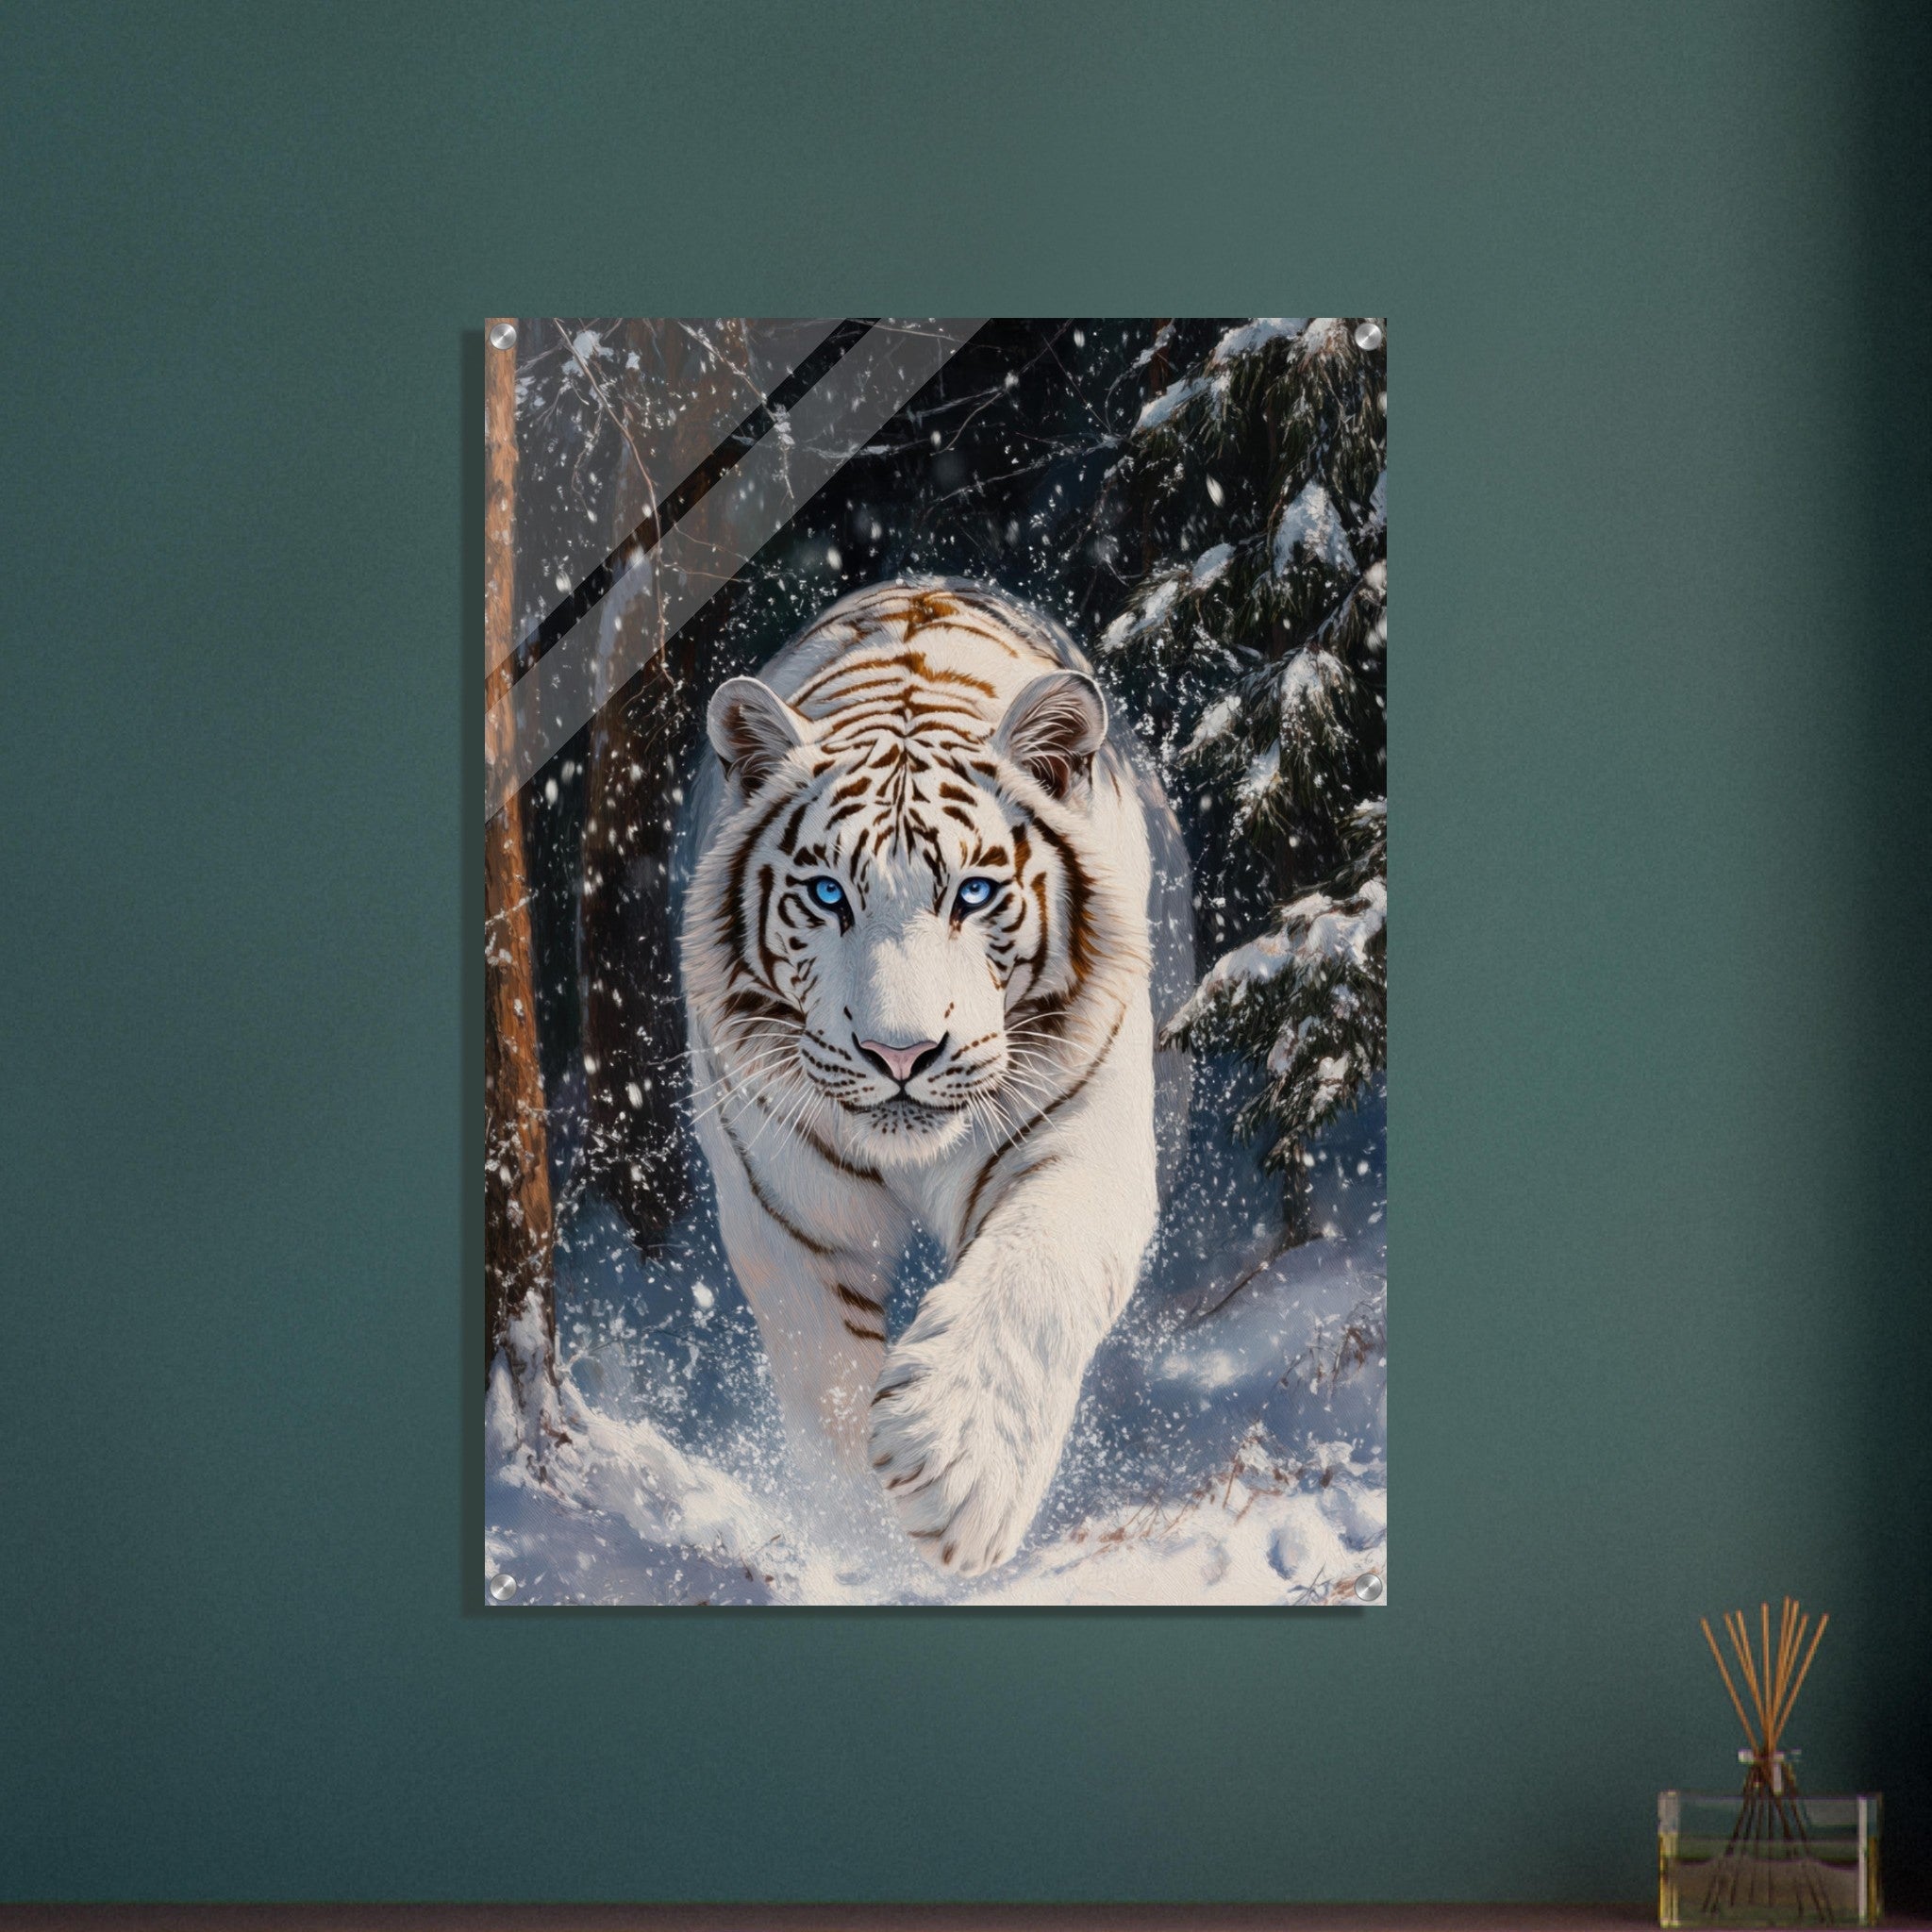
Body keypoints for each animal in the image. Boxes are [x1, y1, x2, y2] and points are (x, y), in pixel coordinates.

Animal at [680, 577, 1184, 1578]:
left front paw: (955, 1469)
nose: (901, 1054)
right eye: (828, 895)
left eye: (975, 894)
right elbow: (823, 1378)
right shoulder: (784, 1208)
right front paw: (863, 1542)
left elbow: (1036, 1277)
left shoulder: (1084, 1141)